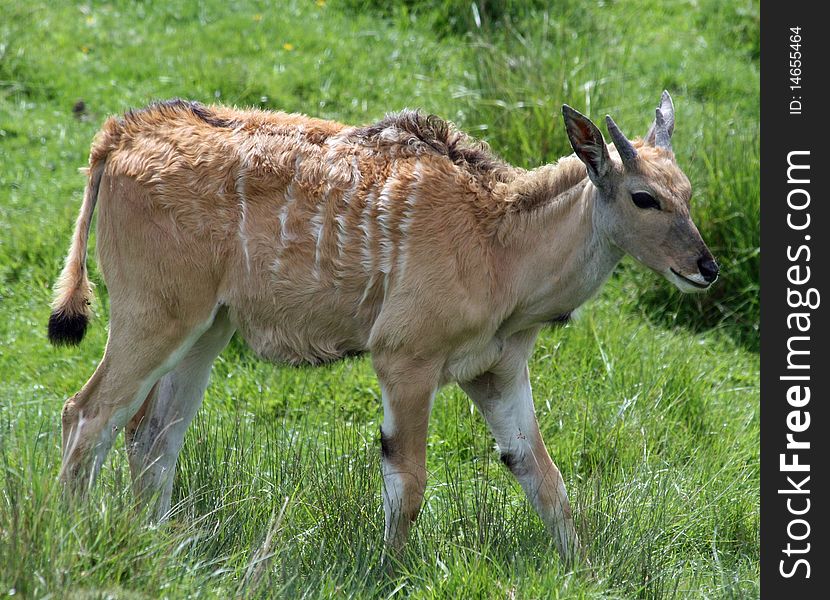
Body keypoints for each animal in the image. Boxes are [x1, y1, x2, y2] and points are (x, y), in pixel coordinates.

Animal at [48, 90, 720, 564]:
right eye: (643, 197)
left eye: (687, 192)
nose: (706, 267)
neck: (499, 242)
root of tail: (123, 133)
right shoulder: (404, 359)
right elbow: (410, 480)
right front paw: (389, 570)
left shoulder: (498, 372)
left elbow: (542, 477)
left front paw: (582, 569)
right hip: (153, 318)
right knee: (88, 415)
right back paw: (75, 538)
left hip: (205, 331)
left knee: (152, 436)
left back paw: (157, 545)